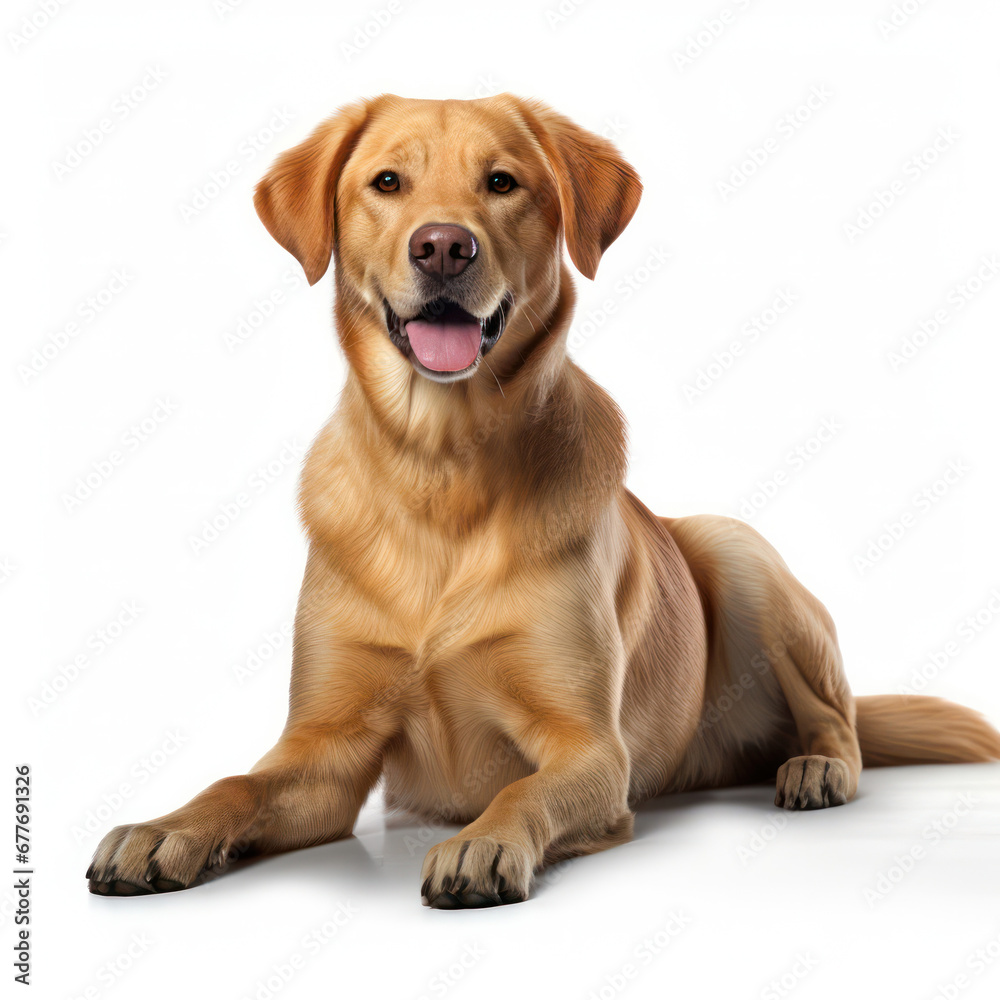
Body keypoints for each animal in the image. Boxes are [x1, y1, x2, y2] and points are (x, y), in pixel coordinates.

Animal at [86, 94, 1000, 908]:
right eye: (386, 182)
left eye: (502, 183)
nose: (443, 246)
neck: (441, 467)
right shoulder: (325, 753)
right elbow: (236, 783)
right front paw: (165, 828)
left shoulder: (589, 748)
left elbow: (520, 791)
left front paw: (482, 843)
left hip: (739, 553)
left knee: (838, 719)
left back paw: (815, 768)